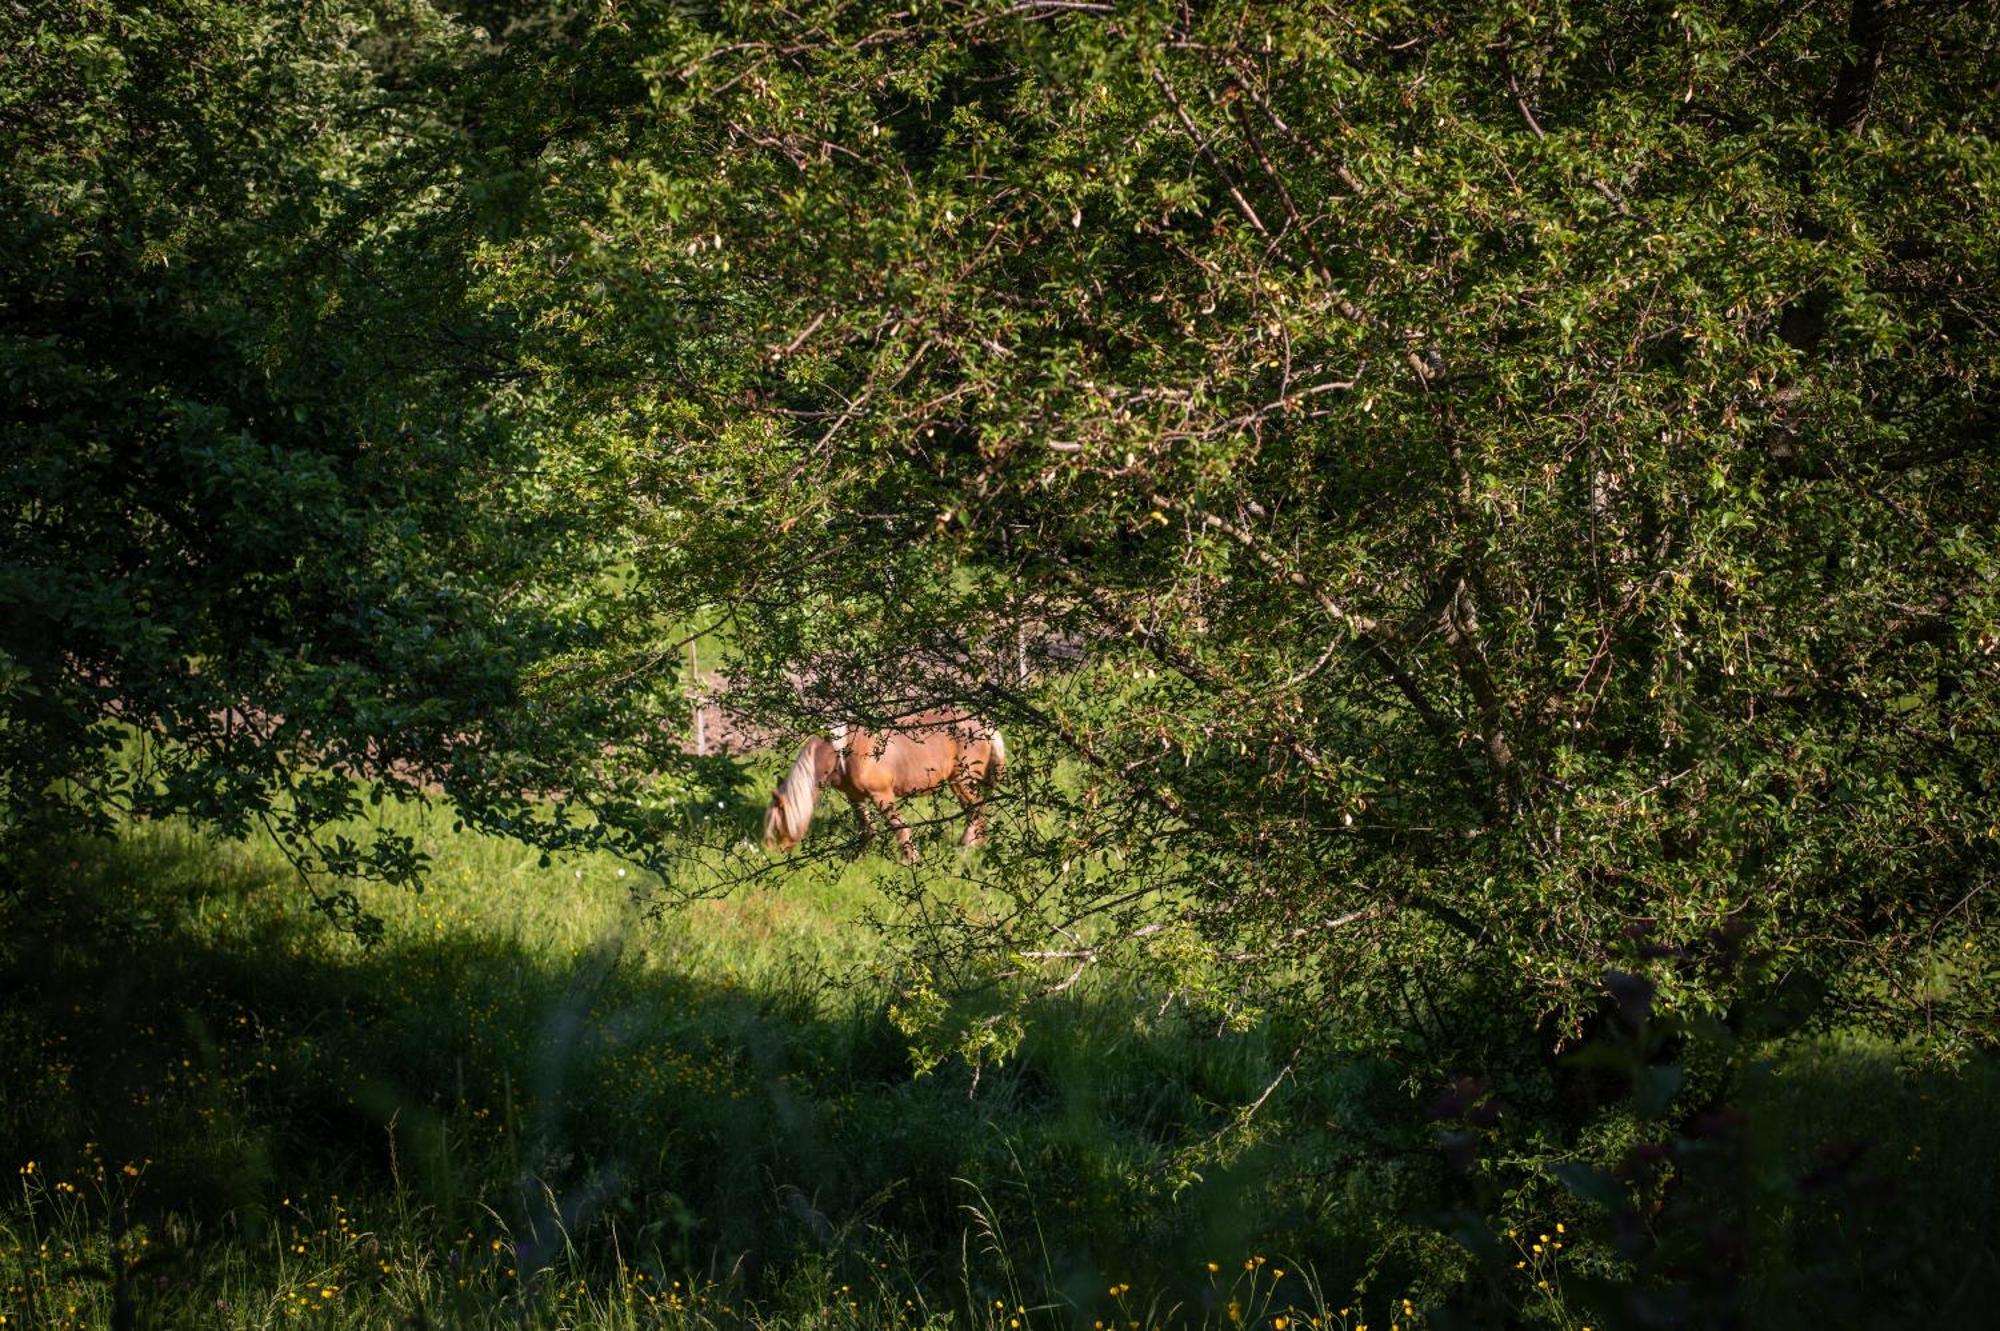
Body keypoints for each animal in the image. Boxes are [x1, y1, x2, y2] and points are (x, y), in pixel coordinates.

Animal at [768, 703, 1016, 859]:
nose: (772, 854)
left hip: (963, 781)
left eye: (778, 824)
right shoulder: (855, 796)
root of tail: (984, 724)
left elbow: (899, 826)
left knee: (976, 809)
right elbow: (866, 827)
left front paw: (911, 860)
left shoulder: (882, 794)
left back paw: (965, 847)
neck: (842, 751)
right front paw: (859, 856)